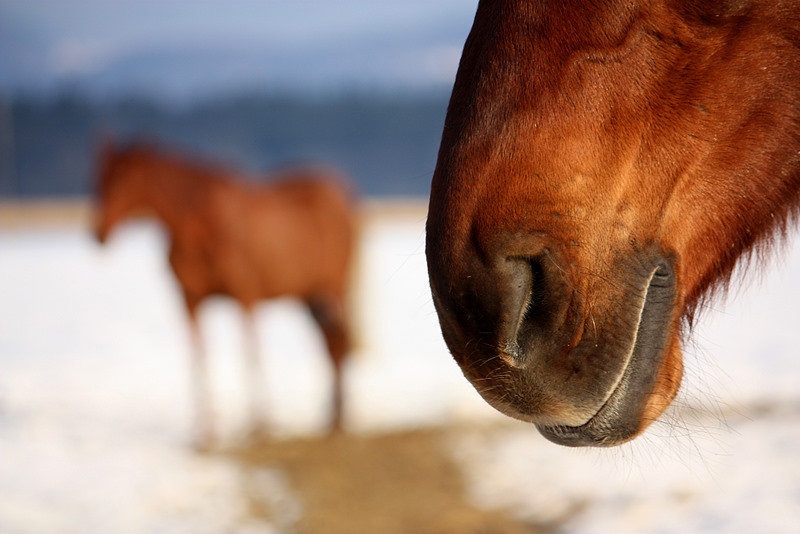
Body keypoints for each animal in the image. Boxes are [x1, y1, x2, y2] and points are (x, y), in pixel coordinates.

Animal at [94, 140, 357, 448]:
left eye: (125, 179)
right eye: (99, 178)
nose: (98, 232)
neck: (198, 227)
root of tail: (339, 193)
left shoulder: (245, 297)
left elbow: (249, 352)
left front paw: (260, 425)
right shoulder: (190, 302)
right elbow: (199, 356)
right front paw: (205, 433)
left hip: (335, 288)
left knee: (338, 342)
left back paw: (338, 420)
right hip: (310, 296)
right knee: (329, 342)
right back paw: (331, 418)